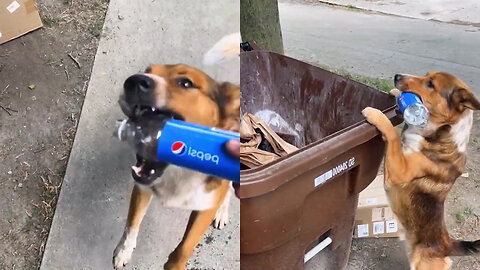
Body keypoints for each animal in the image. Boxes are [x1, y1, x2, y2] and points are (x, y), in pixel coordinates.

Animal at [113, 61, 240, 270]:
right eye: (148, 71)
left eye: (186, 83)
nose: (133, 81)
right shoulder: (142, 185)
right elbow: (131, 223)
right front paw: (124, 250)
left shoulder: (205, 207)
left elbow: (184, 248)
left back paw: (222, 210)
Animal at [364, 72, 480, 270]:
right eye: (426, 76)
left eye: (430, 84)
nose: (397, 76)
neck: (442, 131)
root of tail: (447, 245)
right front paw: (396, 93)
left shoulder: (399, 170)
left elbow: (392, 135)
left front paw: (376, 114)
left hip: (423, 264)